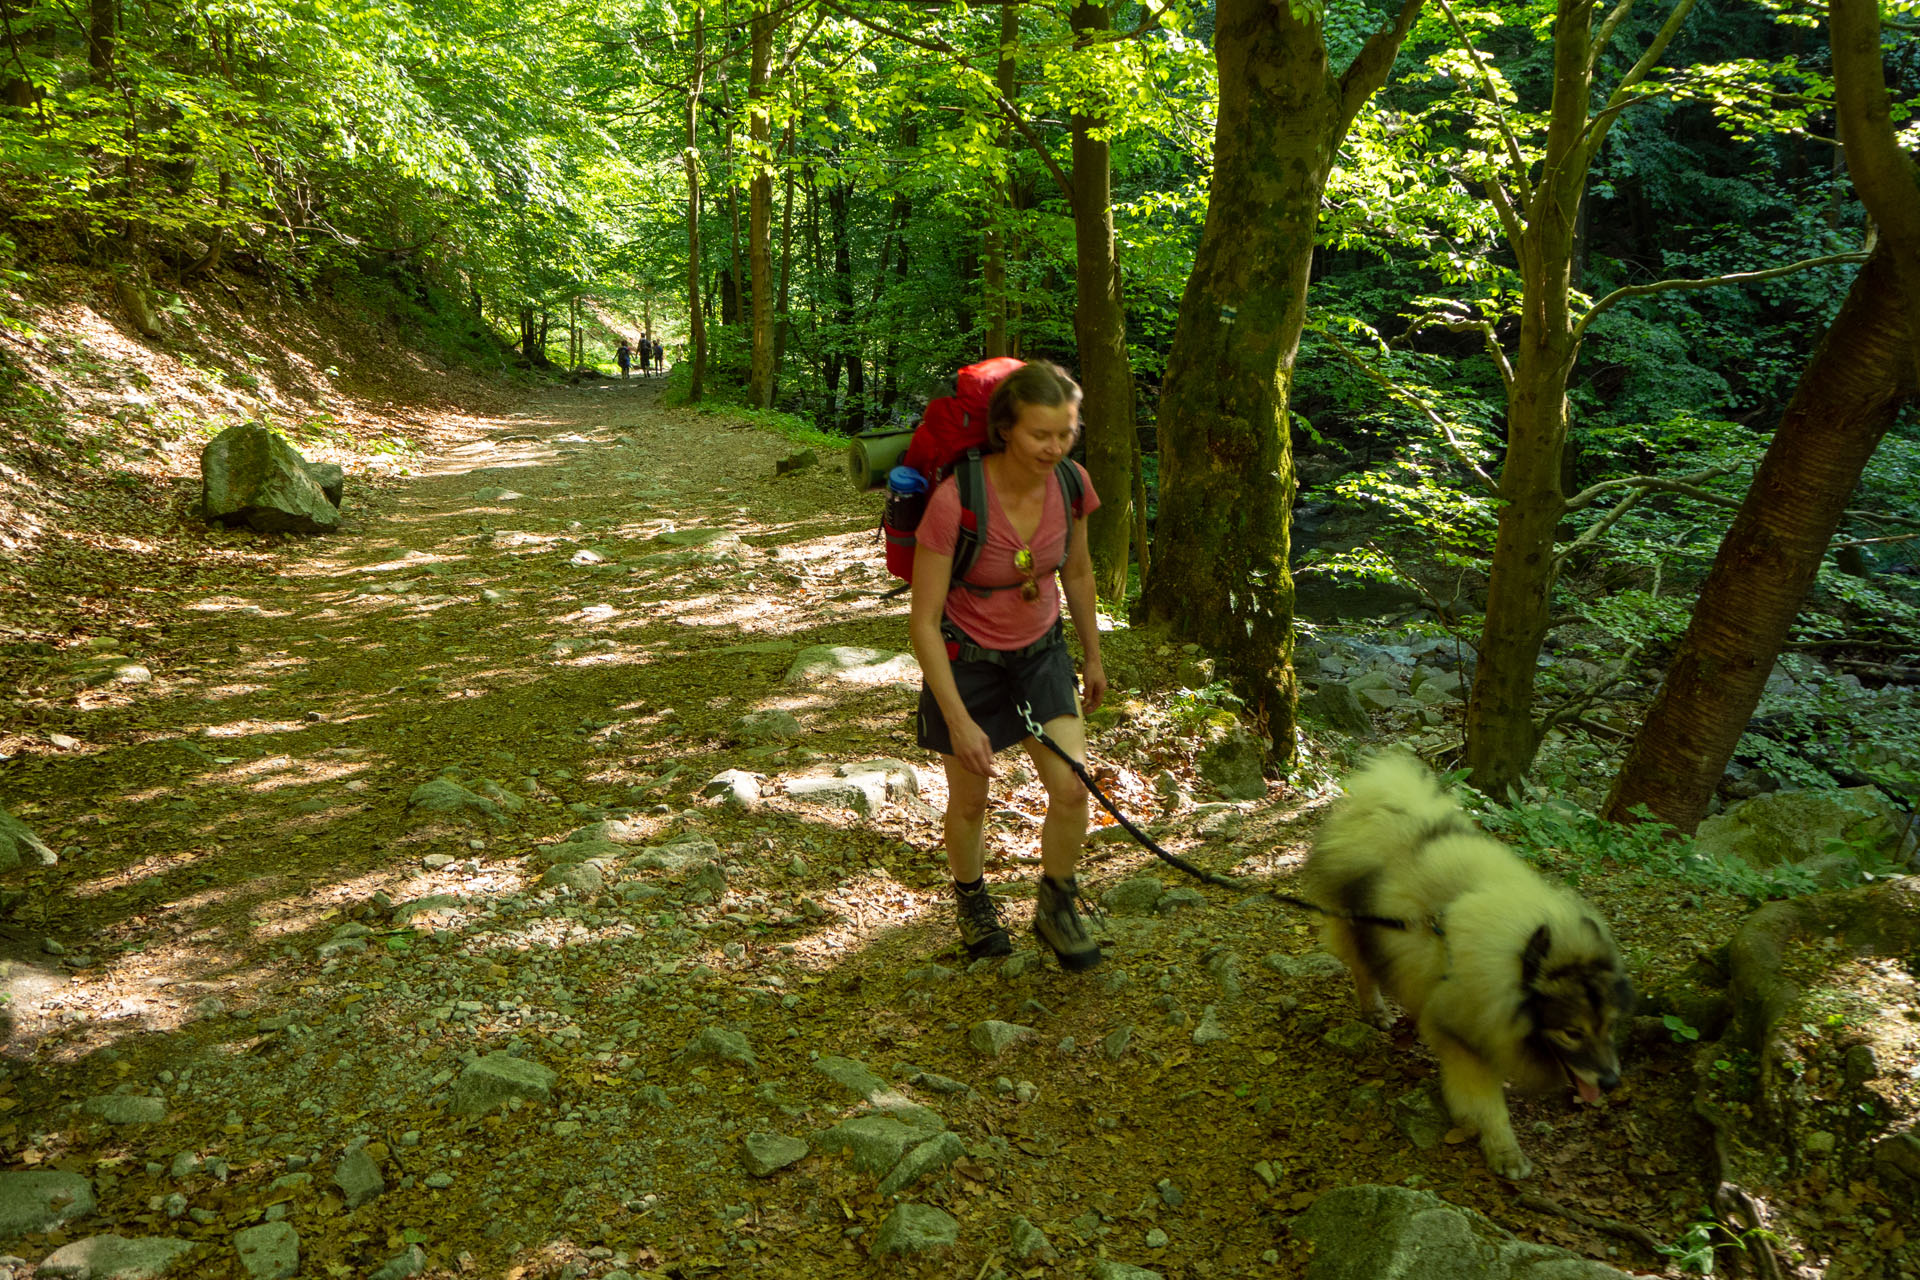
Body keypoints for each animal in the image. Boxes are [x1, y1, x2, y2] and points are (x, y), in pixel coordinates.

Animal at [1297, 752, 1628, 1182]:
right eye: (1572, 1033)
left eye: (1610, 1026)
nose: (1612, 1081)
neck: (1511, 961)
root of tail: (1383, 809)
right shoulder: (1466, 1042)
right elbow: (1489, 1105)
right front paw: (1505, 1152)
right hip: (1363, 928)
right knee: (1363, 971)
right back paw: (1377, 1012)